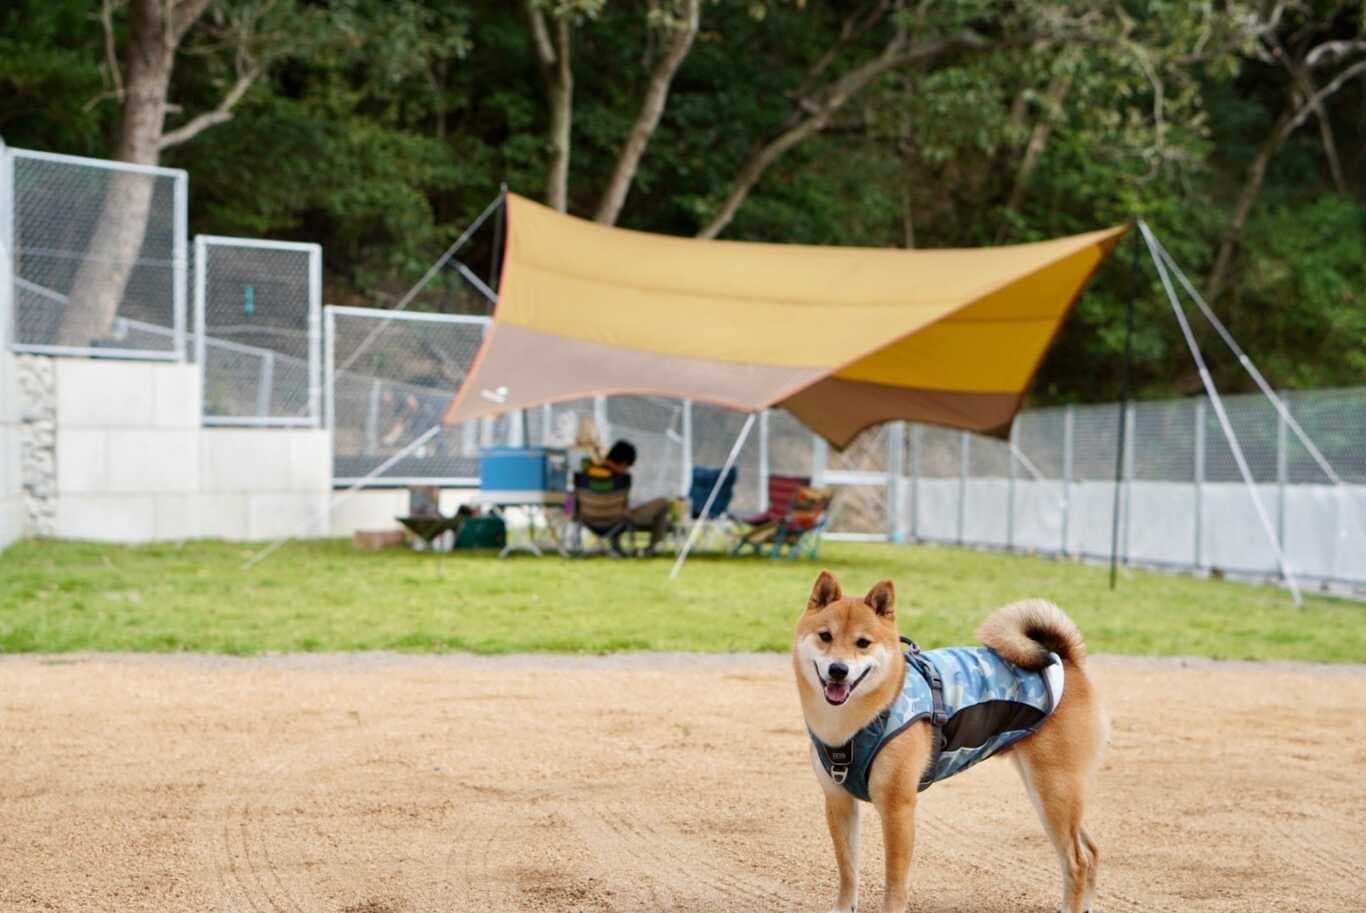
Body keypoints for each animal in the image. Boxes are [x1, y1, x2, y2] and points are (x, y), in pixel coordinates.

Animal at [797, 574, 1103, 907]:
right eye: (825, 636)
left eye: (863, 643)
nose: (838, 670)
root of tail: (1065, 659)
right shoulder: (839, 801)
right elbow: (848, 871)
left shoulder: (897, 807)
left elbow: (894, 883)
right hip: (1054, 791)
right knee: (1090, 851)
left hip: (1054, 789)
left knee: (1077, 860)